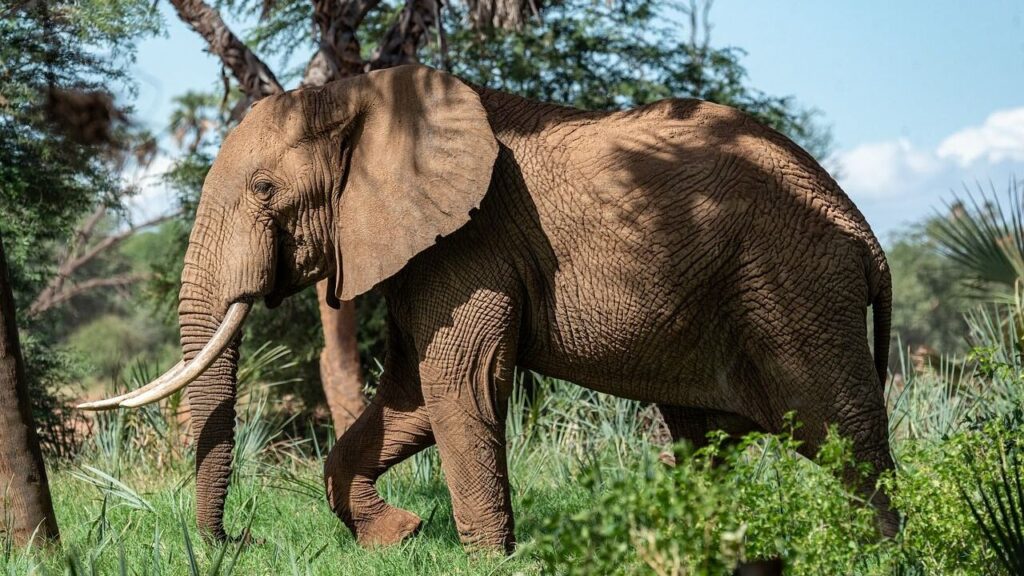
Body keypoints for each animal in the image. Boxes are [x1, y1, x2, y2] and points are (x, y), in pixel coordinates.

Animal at [82, 64, 896, 552]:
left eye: (263, 191)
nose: (239, 543)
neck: (362, 95)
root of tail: (865, 233)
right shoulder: (426, 249)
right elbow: (410, 396)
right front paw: (399, 536)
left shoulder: (471, 242)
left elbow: (458, 383)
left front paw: (488, 559)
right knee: (708, 440)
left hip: (796, 286)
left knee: (845, 436)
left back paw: (878, 552)